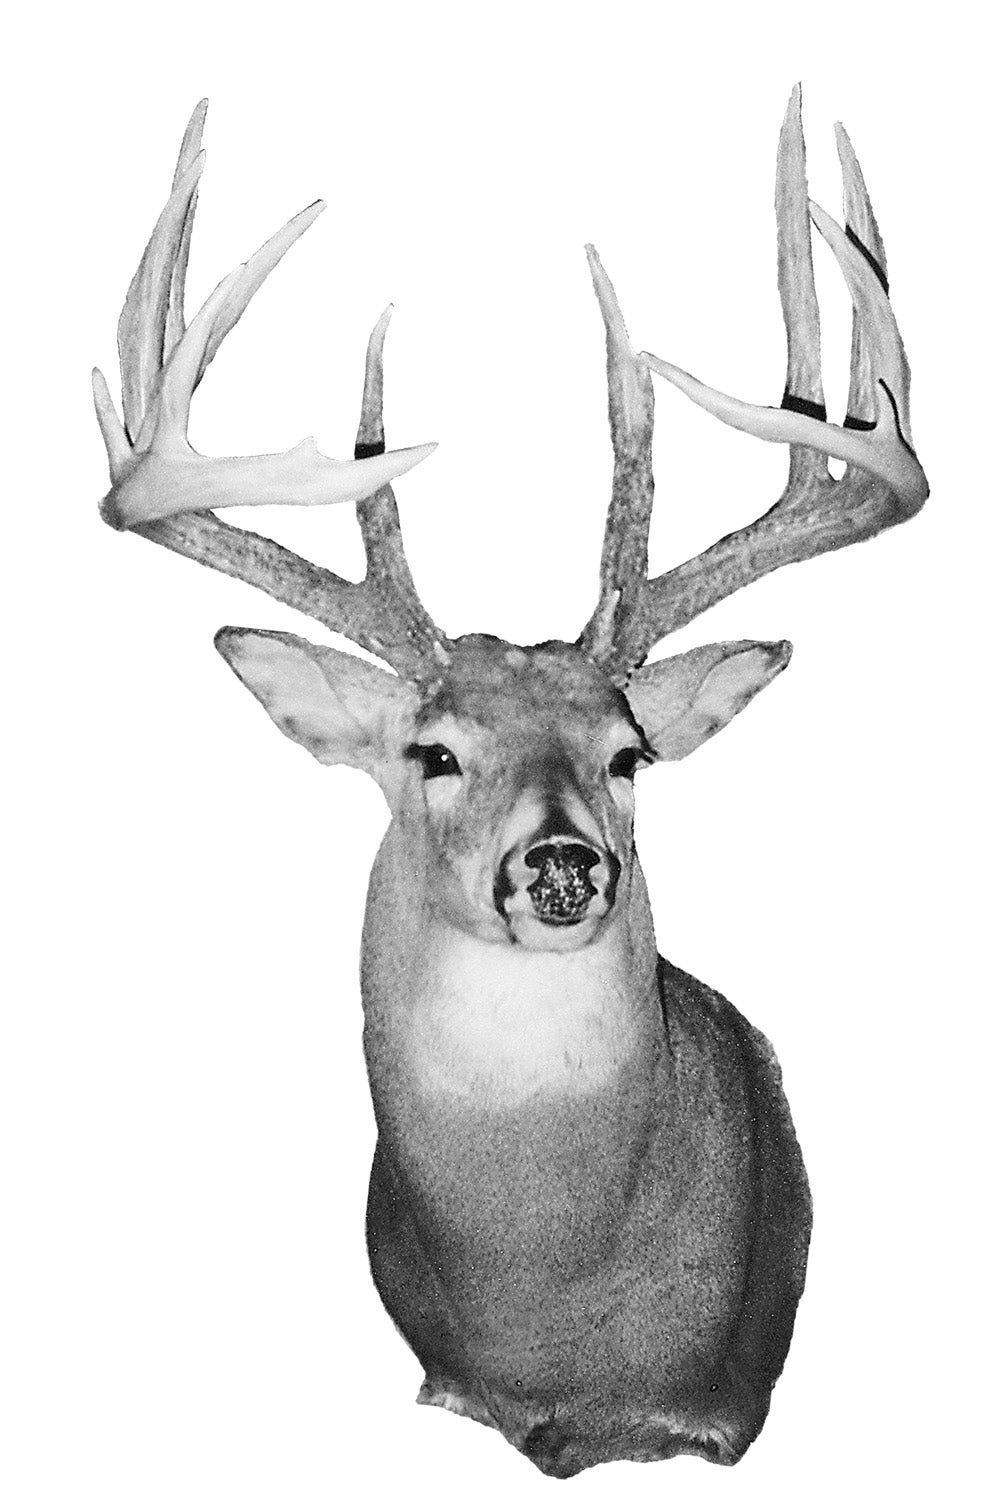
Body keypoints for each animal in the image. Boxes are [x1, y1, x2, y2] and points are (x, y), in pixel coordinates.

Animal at [93, 89, 927, 1477]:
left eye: (627, 751)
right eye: (433, 752)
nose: (561, 862)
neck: (546, 1316)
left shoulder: (712, 1411)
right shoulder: (448, 1383)